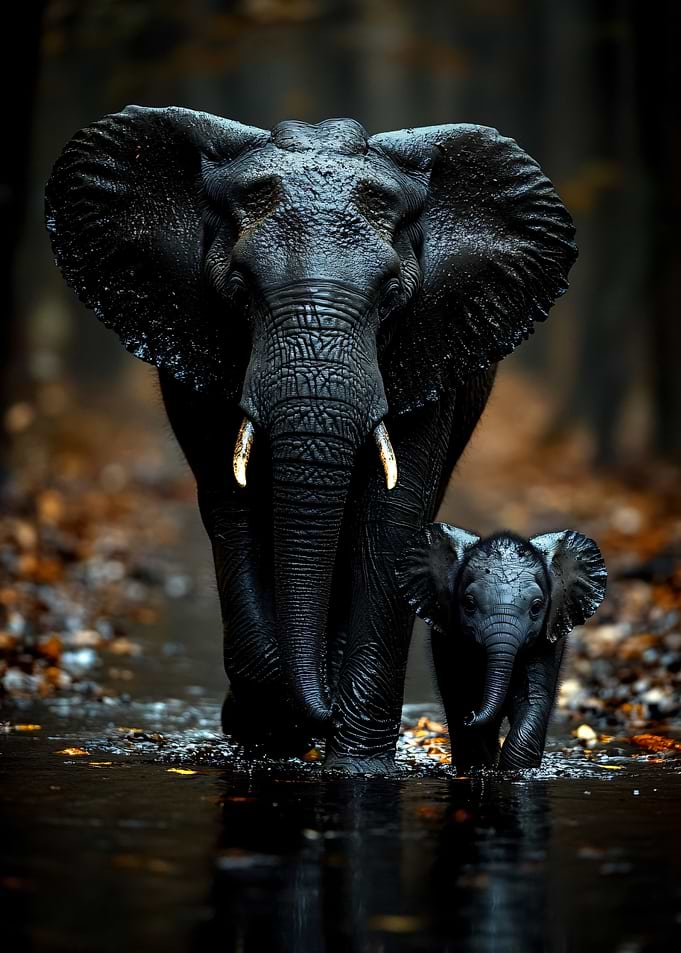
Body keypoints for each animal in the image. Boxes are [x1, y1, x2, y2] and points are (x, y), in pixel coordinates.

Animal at [45, 107, 577, 772]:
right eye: (240, 288)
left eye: (390, 294)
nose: (318, 710)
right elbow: (233, 508)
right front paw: (273, 728)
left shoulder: (428, 344)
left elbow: (391, 521)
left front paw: (354, 766)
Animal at [396, 525, 607, 770]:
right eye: (469, 603)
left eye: (536, 607)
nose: (470, 717)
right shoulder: (449, 641)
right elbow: (461, 695)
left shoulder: (546, 643)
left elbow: (532, 699)